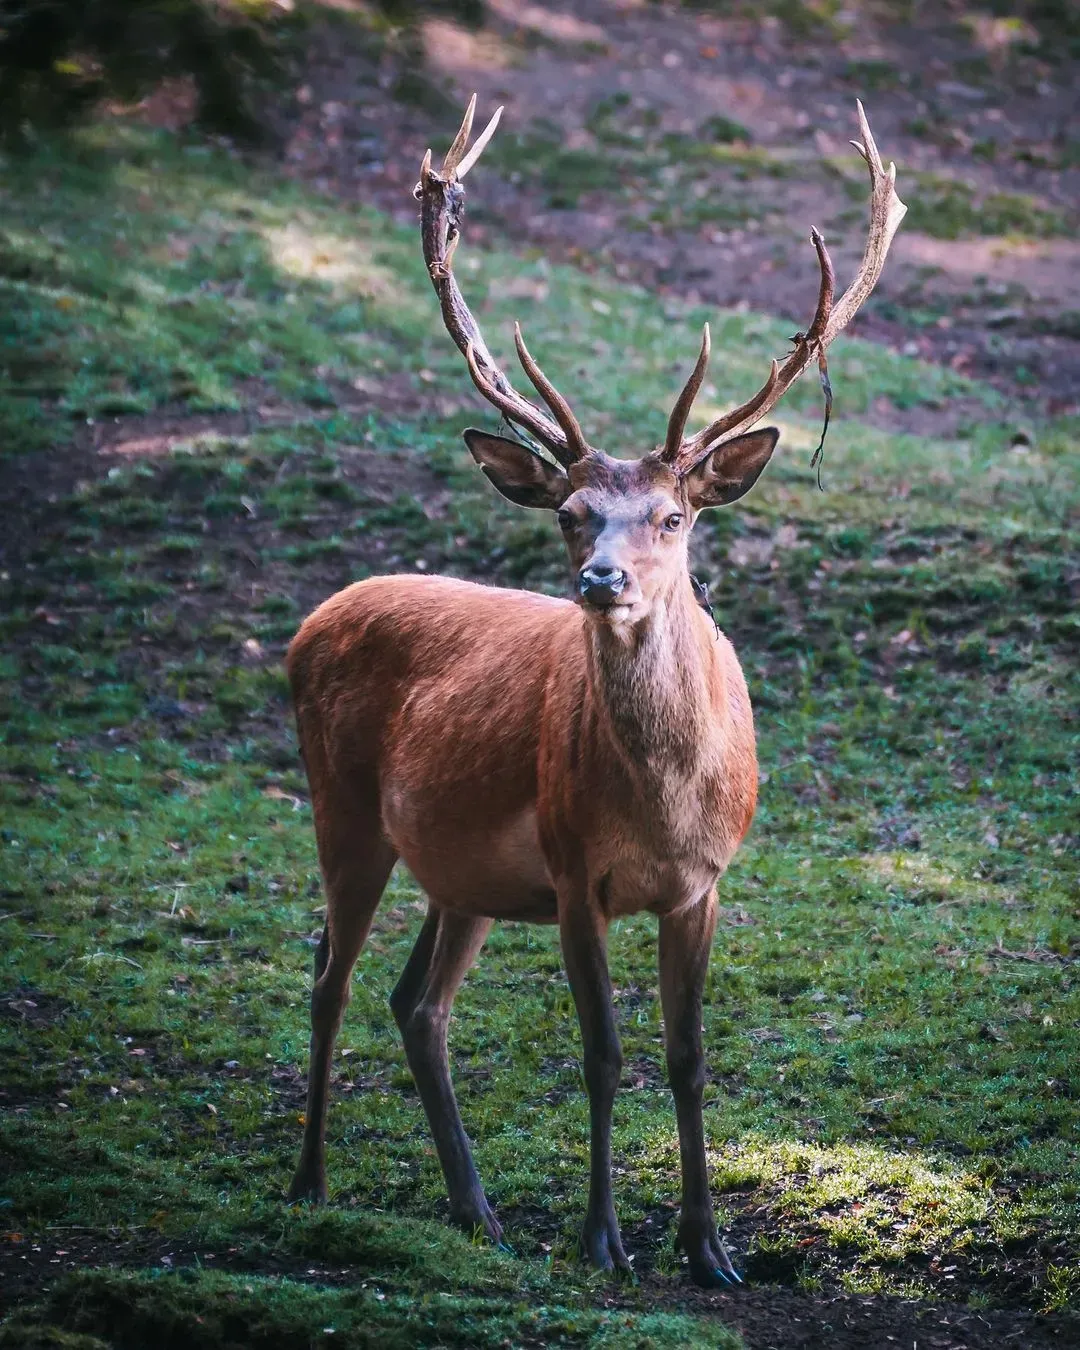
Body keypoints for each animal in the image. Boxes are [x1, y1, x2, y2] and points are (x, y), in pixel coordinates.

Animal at [285, 97, 905, 1287]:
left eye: (674, 514)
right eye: (572, 513)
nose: (601, 579)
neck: (665, 801)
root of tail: (313, 619)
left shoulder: (705, 883)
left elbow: (688, 1055)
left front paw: (711, 1248)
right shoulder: (575, 873)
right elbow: (605, 1053)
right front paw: (604, 1239)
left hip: (464, 874)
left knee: (416, 1002)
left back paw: (475, 1208)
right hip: (343, 810)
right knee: (330, 978)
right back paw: (309, 1183)